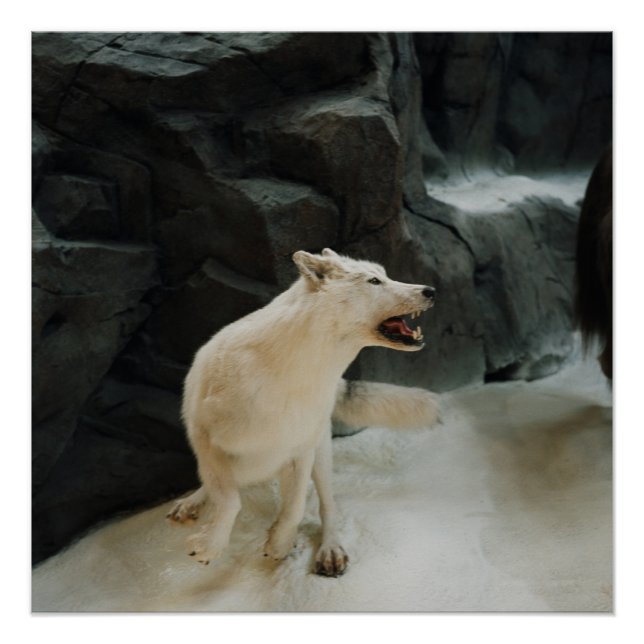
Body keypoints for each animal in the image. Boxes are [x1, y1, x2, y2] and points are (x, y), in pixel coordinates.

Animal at [167, 248, 438, 576]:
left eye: (385, 275)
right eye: (374, 281)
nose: (431, 290)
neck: (294, 380)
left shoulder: (301, 450)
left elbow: (295, 508)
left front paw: (279, 543)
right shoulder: (206, 441)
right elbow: (230, 500)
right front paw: (210, 546)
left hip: (321, 454)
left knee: (327, 505)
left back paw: (330, 549)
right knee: (216, 486)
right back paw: (191, 504)